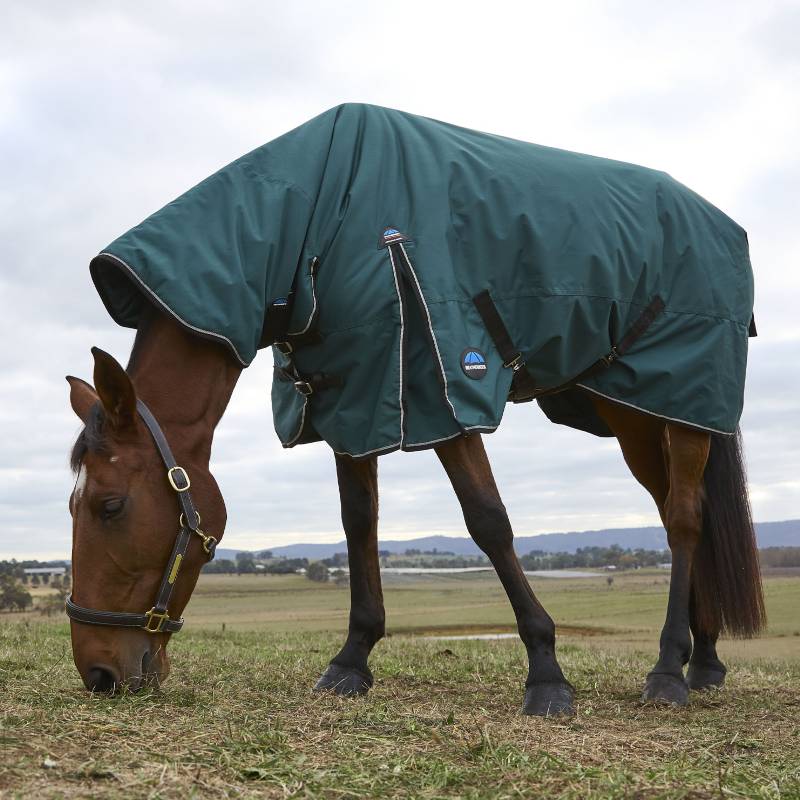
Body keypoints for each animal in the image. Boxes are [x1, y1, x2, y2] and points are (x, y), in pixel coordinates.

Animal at [66, 303, 764, 715]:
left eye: (109, 506)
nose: (97, 673)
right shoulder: (350, 399)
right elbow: (359, 521)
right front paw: (351, 659)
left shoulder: (439, 388)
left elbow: (487, 520)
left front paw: (545, 671)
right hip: (639, 413)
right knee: (681, 512)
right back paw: (703, 658)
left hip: (674, 406)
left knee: (683, 519)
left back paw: (669, 670)